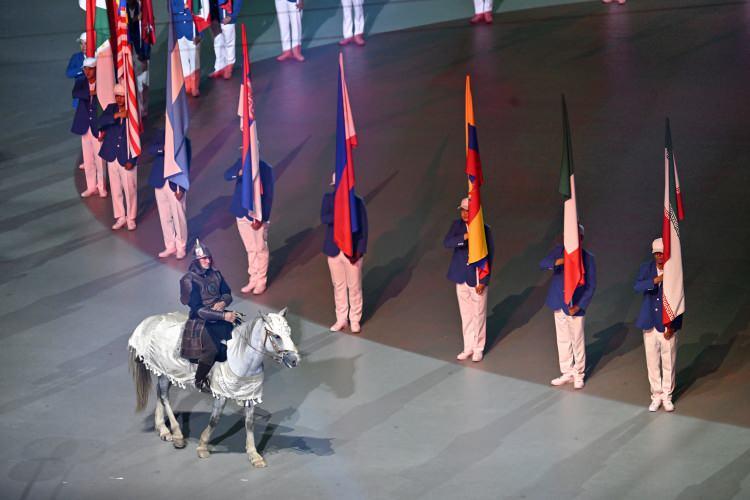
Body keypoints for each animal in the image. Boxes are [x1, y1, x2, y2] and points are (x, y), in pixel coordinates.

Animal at [129, 306, 300, 466]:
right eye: (276, 336)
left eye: (289, 332)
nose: (295, 360)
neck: (239, 355)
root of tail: (150, 321)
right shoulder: (221, 394)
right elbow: (215, 420)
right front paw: (202, 447)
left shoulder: (249, 395)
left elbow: (249, 423)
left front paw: (254, 455)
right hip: (165, 372)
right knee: (164, 397)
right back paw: (177, 435)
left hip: (166, 373)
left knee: (160, 394)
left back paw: (163, 429)